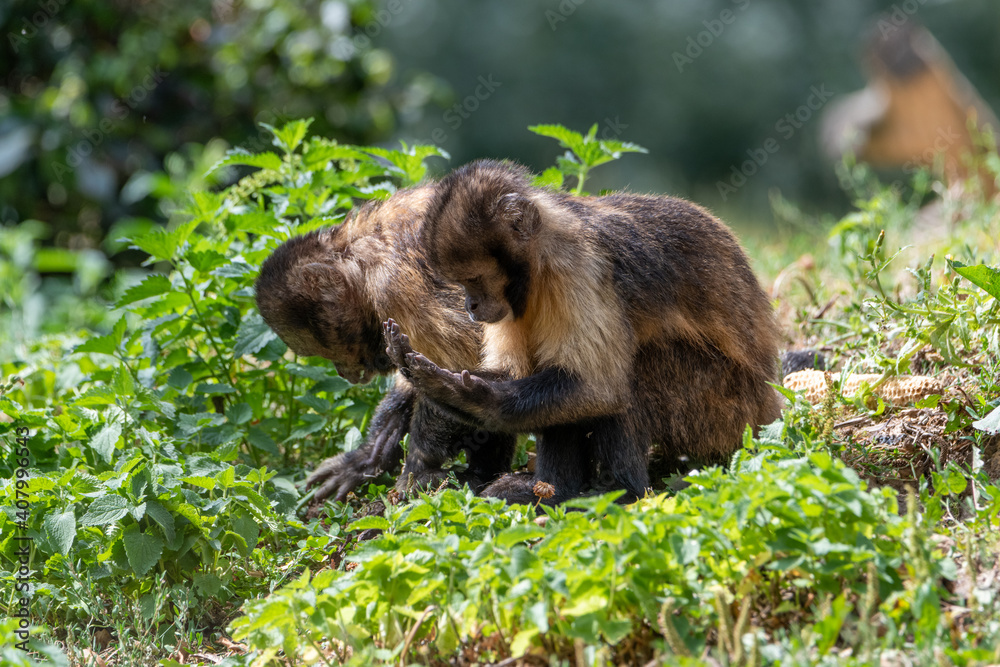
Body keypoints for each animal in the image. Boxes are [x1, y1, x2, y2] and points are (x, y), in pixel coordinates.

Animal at [254, 185, 516, 507]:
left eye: (328, 351)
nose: (344, 374)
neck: (360, 252)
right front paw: (367, 459)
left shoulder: (398, 285)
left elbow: (465, 370)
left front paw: (417, 470)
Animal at [384, 159, 782, 505]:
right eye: (464, 284)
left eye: (475, 279)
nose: (471, 305)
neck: (539, 260)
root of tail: (770, 407)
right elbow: (518, 374)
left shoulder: (577, 265)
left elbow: (599, 387)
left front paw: (462, 394)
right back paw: (556, 492)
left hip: (724, 413)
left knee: (630, 375)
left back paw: (615, 493)